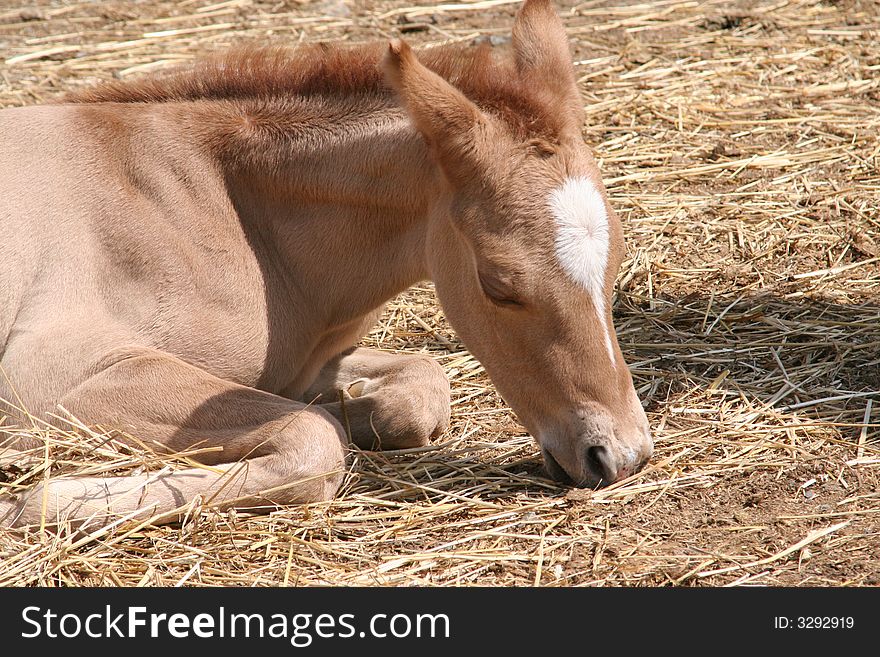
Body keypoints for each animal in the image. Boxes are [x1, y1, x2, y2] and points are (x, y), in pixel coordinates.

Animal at [1, 0, 652, 532]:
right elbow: (315, 436)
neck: (228, 209)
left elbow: (417, 389)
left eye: (616, 262)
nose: (618, 455)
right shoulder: (48, 376)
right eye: (498, 285)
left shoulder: (304, 367)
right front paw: (46, 502)